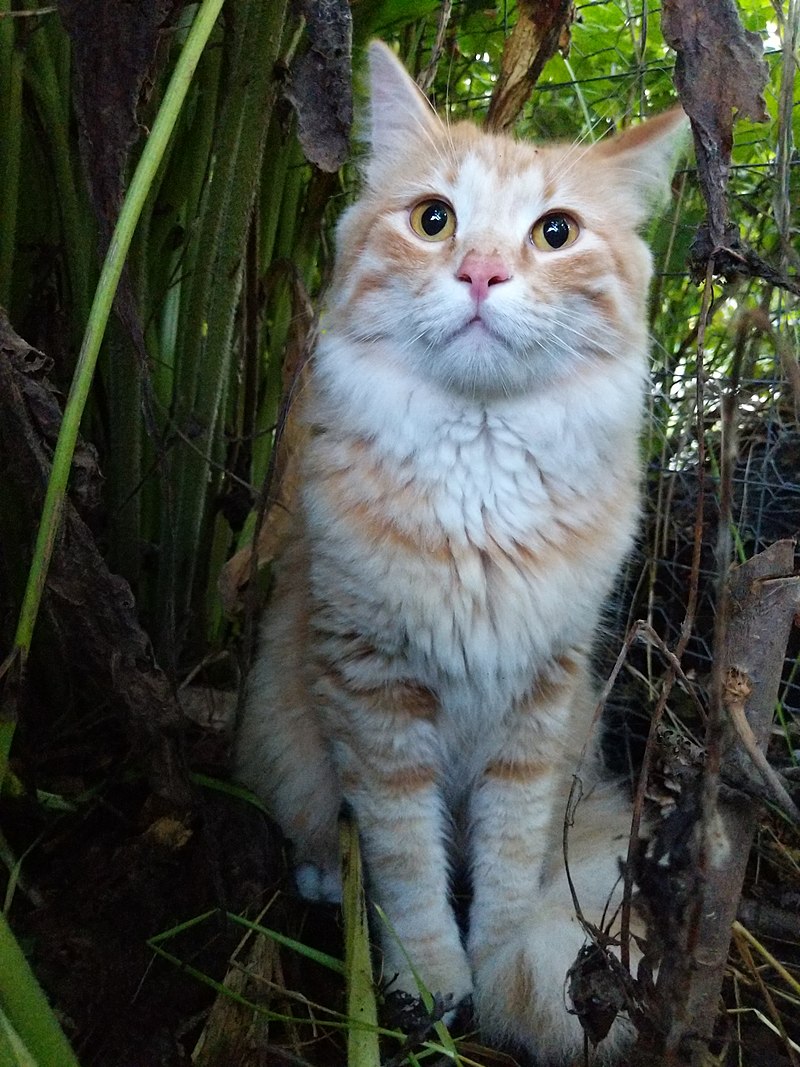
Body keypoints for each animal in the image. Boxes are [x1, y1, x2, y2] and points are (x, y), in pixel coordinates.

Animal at [234, 37, 686, 1062]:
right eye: (433, 220)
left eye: (555, 233)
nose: (480, 273)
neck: (479, 476)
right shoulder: (374, 696)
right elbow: (406, 869)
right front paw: (426, 984)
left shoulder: (540, 705)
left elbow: (511, 866)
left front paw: (499, 964)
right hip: (284, 725)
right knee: (316, 823)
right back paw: (325, 878)